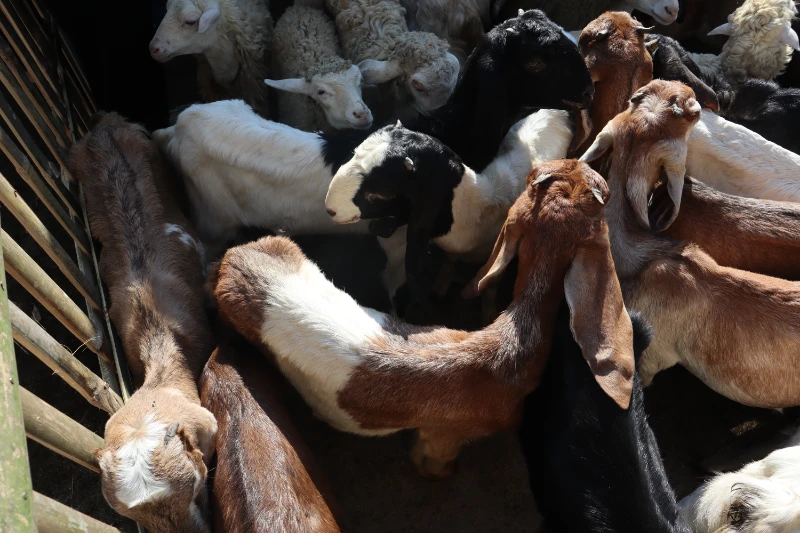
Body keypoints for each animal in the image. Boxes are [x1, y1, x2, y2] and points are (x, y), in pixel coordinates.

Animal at [208, 158, 635, 479]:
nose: (581, 162)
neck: (506, 354)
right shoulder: (445, 435)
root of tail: (231, 260)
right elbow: (432, 463)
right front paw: (441, 472)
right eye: (597, 191)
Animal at [324, 109, 574, 310]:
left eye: (383, 192)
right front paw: (441, 284)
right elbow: (449, 261)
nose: (330, 209)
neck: (477, 208)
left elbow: (489, 288)